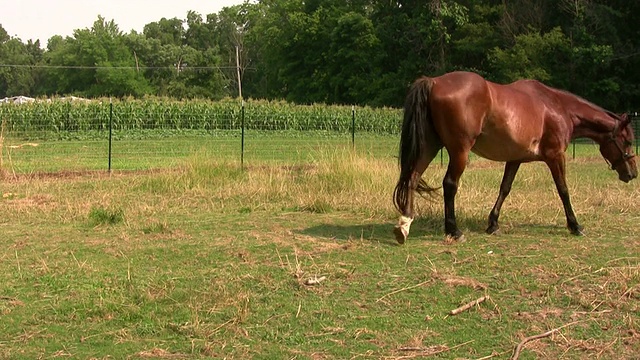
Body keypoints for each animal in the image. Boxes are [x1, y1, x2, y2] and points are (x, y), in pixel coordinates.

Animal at [392, 71, 636, 242]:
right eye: (628, 141)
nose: (632, 174)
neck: (558, 107)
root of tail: (434, 82)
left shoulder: (515, 159)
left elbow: (505, 189)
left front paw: (493, 224)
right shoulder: (556, 156)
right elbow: (563, 190)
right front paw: (575, 225)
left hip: (430, 146)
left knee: (412, 177)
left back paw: (404, 225)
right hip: (459, 151)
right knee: (450, 184)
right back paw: (453, 230)